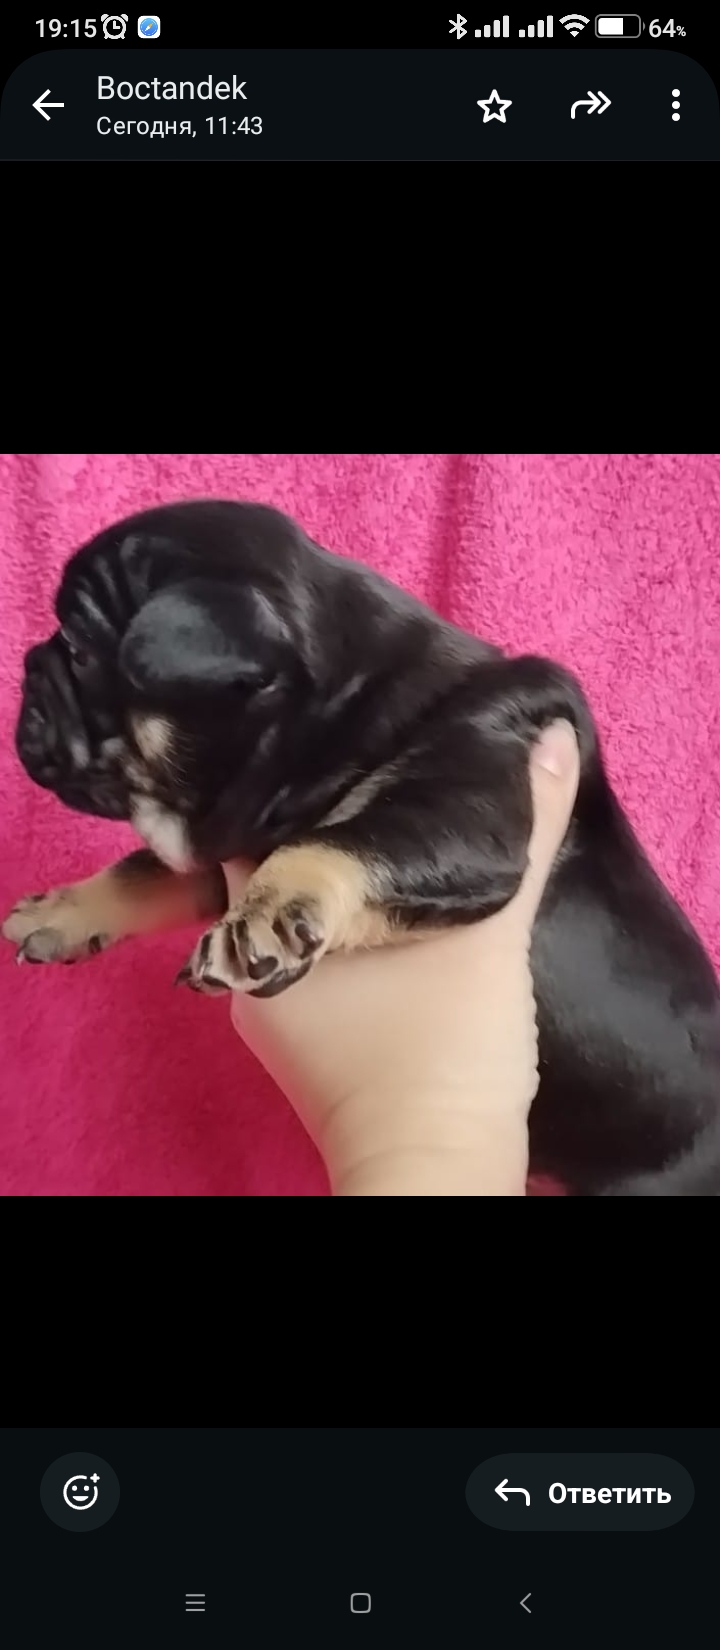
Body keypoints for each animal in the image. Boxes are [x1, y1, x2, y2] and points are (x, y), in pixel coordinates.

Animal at [4, 499, 720, 1195]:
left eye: (76, 648)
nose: (27, 668)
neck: (342, 708)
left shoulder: (463, 811)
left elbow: (338, 844)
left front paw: (265, 920)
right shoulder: (230, 842)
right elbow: (144, 871)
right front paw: (62, 912)